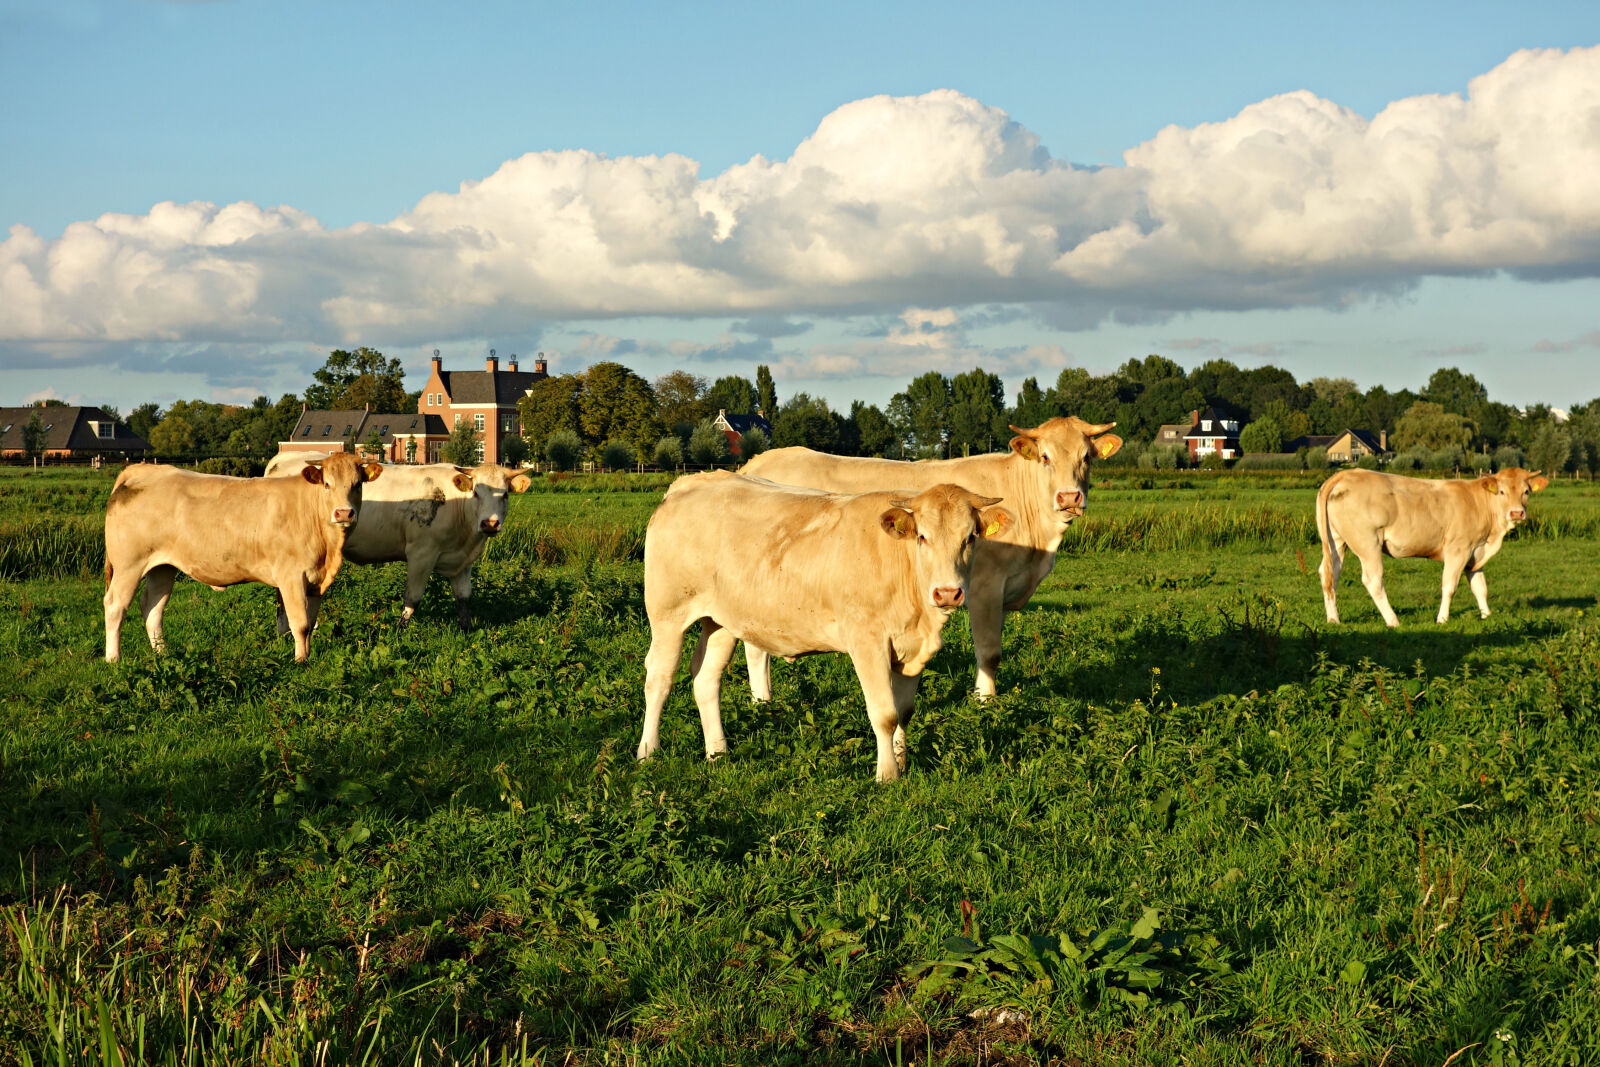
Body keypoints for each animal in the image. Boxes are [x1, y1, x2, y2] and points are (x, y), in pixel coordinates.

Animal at [103, 452, 381, 663]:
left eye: (357, 484)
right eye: (327, 484)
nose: (343, 513)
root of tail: (143, 470)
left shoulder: (316, 581)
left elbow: (310, 623)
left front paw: (308, 655)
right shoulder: (290, 576)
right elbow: (300, 623)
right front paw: (300, 661)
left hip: (162, 567)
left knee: (152, 607)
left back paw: (163, 655)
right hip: (129, 565)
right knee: (116, 605)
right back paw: (113, 658)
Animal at [263, 455, 533, 631]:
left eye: (505, 495)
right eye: (476, 492)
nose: (490, 523)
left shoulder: (462, 561)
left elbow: (464, 597)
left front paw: (466, 630)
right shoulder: (421, 554)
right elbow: (413, 597)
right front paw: (399, 631)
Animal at [637, 473, 1015, 782]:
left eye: (970, 538)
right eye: (922, 537)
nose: (948, 592)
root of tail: (690, 482)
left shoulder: (911, 648)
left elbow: (904, 712)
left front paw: (902, 761)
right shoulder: (867, 641)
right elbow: (884, 714)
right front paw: (887, 775)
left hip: (720, 621)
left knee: (705, 678)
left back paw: (717, 751)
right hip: (667, 613)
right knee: (659, 678)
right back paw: (647, 752)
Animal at [740, 417, 1122, 699]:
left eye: (1086, 457)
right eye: (1045, 457)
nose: (1069, 497)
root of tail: (759, 461)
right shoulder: (985, 586)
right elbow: (989, 651)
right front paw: (986, 702)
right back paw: (764, 702)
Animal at [1317, 467, 1549, 627]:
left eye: (1526, 491)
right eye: (1501, 492)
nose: (1516, 513)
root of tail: (1347, 474)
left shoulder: (1475, 553)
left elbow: (1480, 588)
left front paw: (1486, 615)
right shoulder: (1458, 549)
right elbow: (1449, 586)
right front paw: (1442, 619)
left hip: (1337, 542)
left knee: (1329, 575)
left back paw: (1333, 619)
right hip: (1368, 544)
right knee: (1372, 580)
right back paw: (1393, 620)